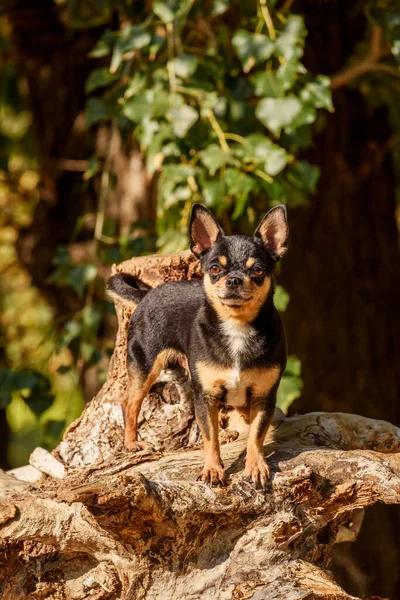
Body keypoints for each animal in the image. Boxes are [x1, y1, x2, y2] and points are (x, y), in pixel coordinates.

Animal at [106, 205, 288, 488]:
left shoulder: (263, 396)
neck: (237, 327)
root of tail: (147, 295)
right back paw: (132, 443)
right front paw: (213, 470)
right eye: (214, 268)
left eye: (257, 270)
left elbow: (256, 436)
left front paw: (256, 466)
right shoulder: (206, 397)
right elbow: (210, 437)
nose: (234, 280)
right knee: (129, 402)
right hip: (146, 366)